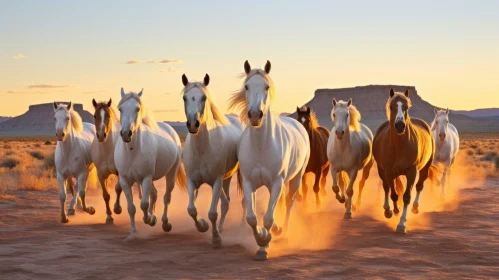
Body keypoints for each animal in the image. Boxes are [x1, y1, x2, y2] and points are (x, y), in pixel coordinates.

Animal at [114, 89, 187, 241]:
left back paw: (165, 223)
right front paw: (133, 233)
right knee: (154, 194)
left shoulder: (146, 178)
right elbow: (131, 208)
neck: (132, 152)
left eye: (137, 108)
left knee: (166, 197)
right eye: (120, 109)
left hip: (170, 174)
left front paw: (150, 219)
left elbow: (144, 204)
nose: (126, 134)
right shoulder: (125, 180)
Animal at [182, 73, 244, 248]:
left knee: (233, 202)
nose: (193, 124)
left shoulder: (216, 181)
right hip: (226, 179)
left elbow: (212, 213)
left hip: (234, 176)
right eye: (184, 98)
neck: (202, 150)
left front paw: (216, 238)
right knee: (226, 202)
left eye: (204, 97)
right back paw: (221, 229)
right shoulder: (192, 181)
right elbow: (191, 209)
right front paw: (202, 226)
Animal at [229, 60, 310, 260]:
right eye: (247, 86)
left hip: (295, 179)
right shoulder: (249, 182)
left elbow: (267, 217)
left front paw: (264, 245)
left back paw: (285, 231)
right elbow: (252, 217)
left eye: (266, 87)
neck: (261, 146)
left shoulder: (276, 182)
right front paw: (262, 237)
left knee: (288, 203)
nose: (255, 115)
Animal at [374, 88, 440, 233]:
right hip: (381, 170)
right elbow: (393, 194)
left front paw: (402, 223)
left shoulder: (411, 171)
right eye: (391, 106)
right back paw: (388, 210)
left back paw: (415, 207)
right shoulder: (389, 171)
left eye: (407, 107)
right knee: (386, 187)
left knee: (419, 186)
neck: (399, 146)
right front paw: (394, 211)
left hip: (425, 167)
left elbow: (406, 196)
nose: (400, 125)